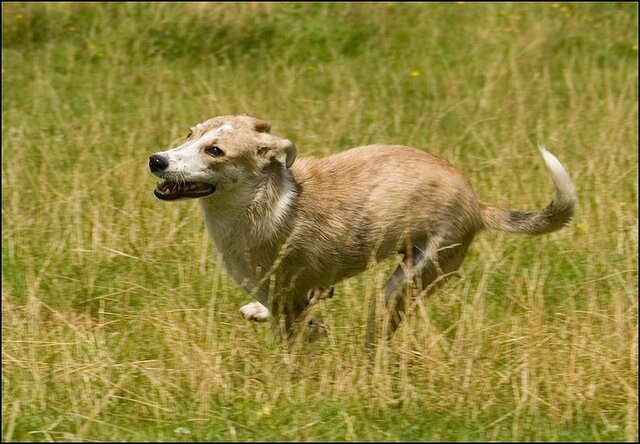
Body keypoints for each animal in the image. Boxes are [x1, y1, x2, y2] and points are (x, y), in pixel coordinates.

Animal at [149, 115, 576, 344]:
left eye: (215, 151)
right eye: (190, 134)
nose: (156, 160)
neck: (262, 200)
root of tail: (477, 202)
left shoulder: (291, 298)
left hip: (408, 279)